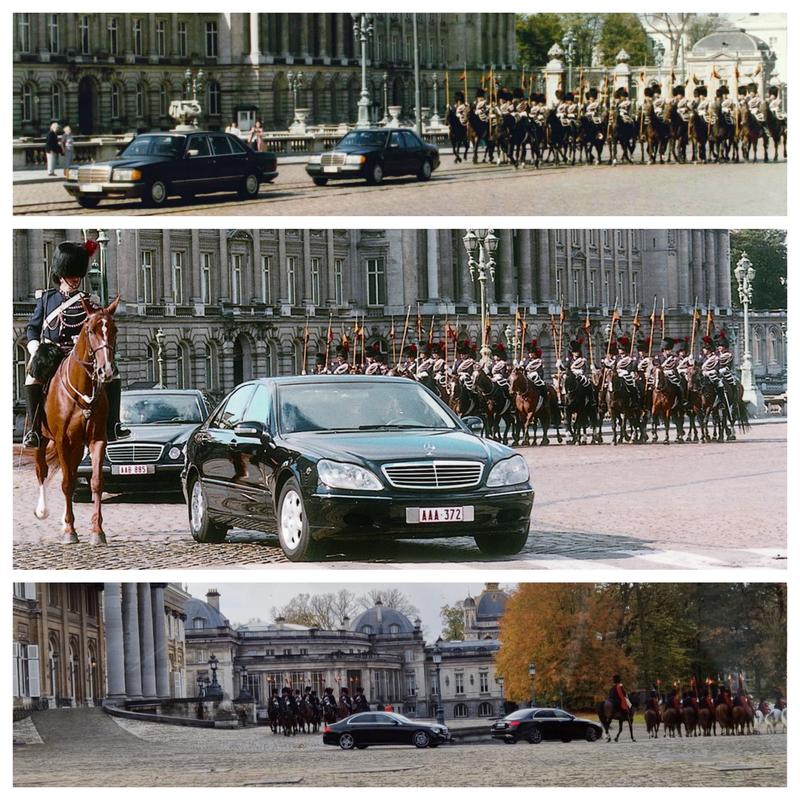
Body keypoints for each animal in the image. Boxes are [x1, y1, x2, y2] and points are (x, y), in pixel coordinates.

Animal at [33, 296, 121, 548]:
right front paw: (70, 531)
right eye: (91, 330)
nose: (106, 370)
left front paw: (97, 531)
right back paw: (44, 511)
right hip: (42, 440)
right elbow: (66, 483)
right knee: (42, 471)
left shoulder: (97, 439)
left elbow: (96, 482)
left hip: (77, 445)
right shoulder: (62, 440)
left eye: (114, 330)